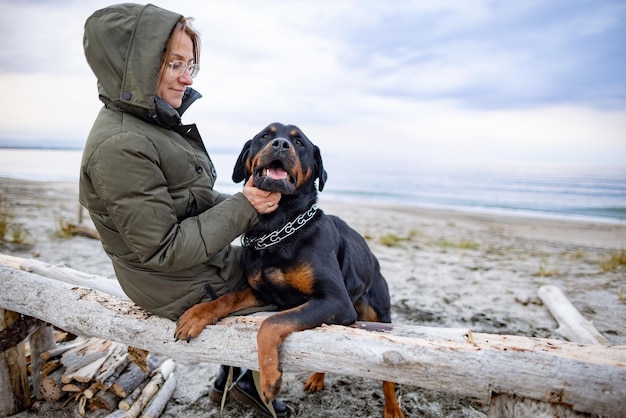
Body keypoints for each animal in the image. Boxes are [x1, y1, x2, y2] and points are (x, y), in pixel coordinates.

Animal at [173, 122, 402, 416]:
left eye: (299, 142)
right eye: (264, 136)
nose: (281, 145)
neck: (277, 228)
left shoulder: (334, 301)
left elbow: (271, 323)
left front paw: (269, 378)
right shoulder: (263, 292)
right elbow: (228, 298)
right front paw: (197, 314)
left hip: (379, 313)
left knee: (388, 375)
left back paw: (392, 407)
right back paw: (317, 378)